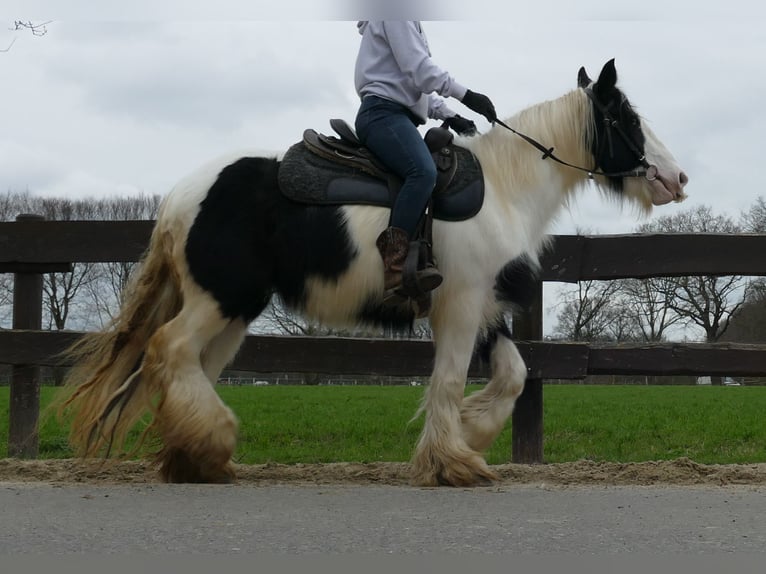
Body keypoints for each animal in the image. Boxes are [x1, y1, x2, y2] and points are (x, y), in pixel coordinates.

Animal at [60, 60, 688, 488]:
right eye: (625, 117)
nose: (677, 178)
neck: (503, 190)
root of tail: (178, 199)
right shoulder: (459, 304)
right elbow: (449, 379)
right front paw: (451, 462)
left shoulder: (484, 306)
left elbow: (512, 376)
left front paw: (470, 433)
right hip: (221, 299)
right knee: (169, 350)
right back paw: (211, 444)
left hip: (233, 309)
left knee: (192, 365)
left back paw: (197, 456)